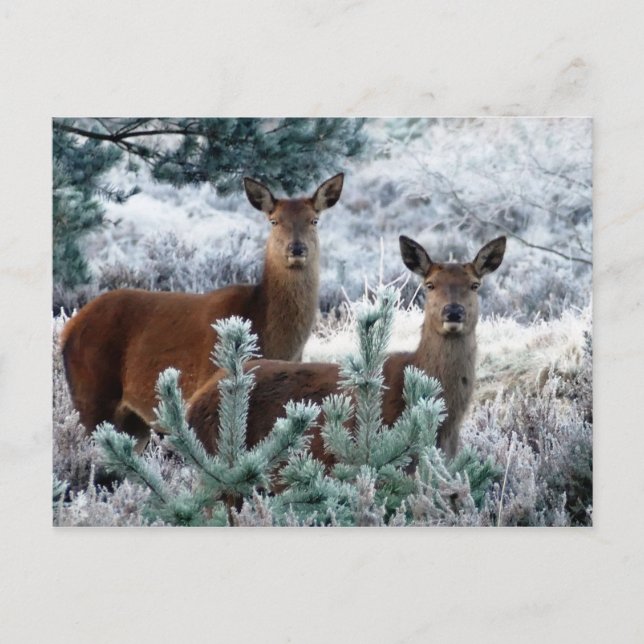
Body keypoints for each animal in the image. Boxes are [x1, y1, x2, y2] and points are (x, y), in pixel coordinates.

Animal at [61, 173, 344, 450]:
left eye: (314, 220)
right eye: (274, 221)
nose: (296, 248)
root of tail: (68, 328)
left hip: (133, 421)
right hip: (92, 394)